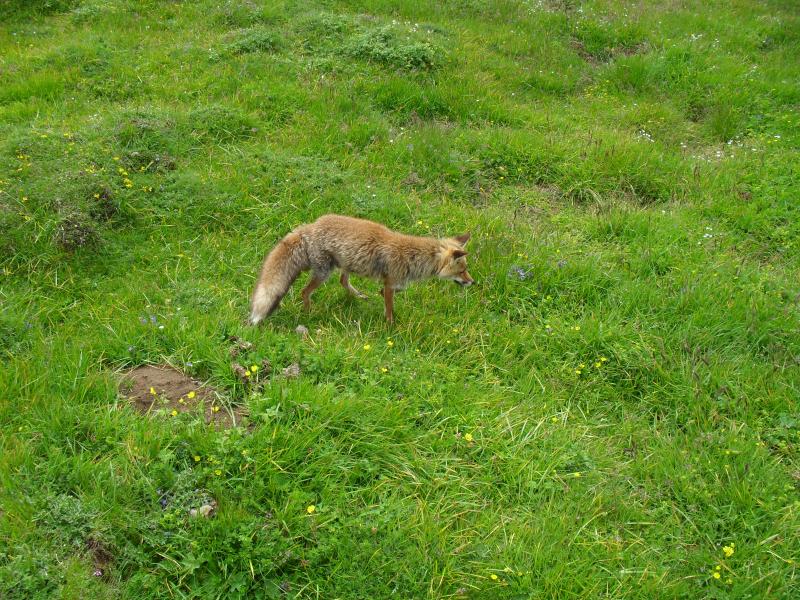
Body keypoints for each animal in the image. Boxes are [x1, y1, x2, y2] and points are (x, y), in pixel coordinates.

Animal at [249, 214, 474, 325]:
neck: (413, 257)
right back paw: (308, 312)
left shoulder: (392, 284)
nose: (473, 282)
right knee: (305, 291)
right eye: (461, 271)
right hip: (323, 272)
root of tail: (310, 227)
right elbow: (389, 308)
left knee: (342, 281)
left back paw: (358, 296)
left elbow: (388, 294)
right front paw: (390, 326)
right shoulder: (390, 283)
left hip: (346, 265)